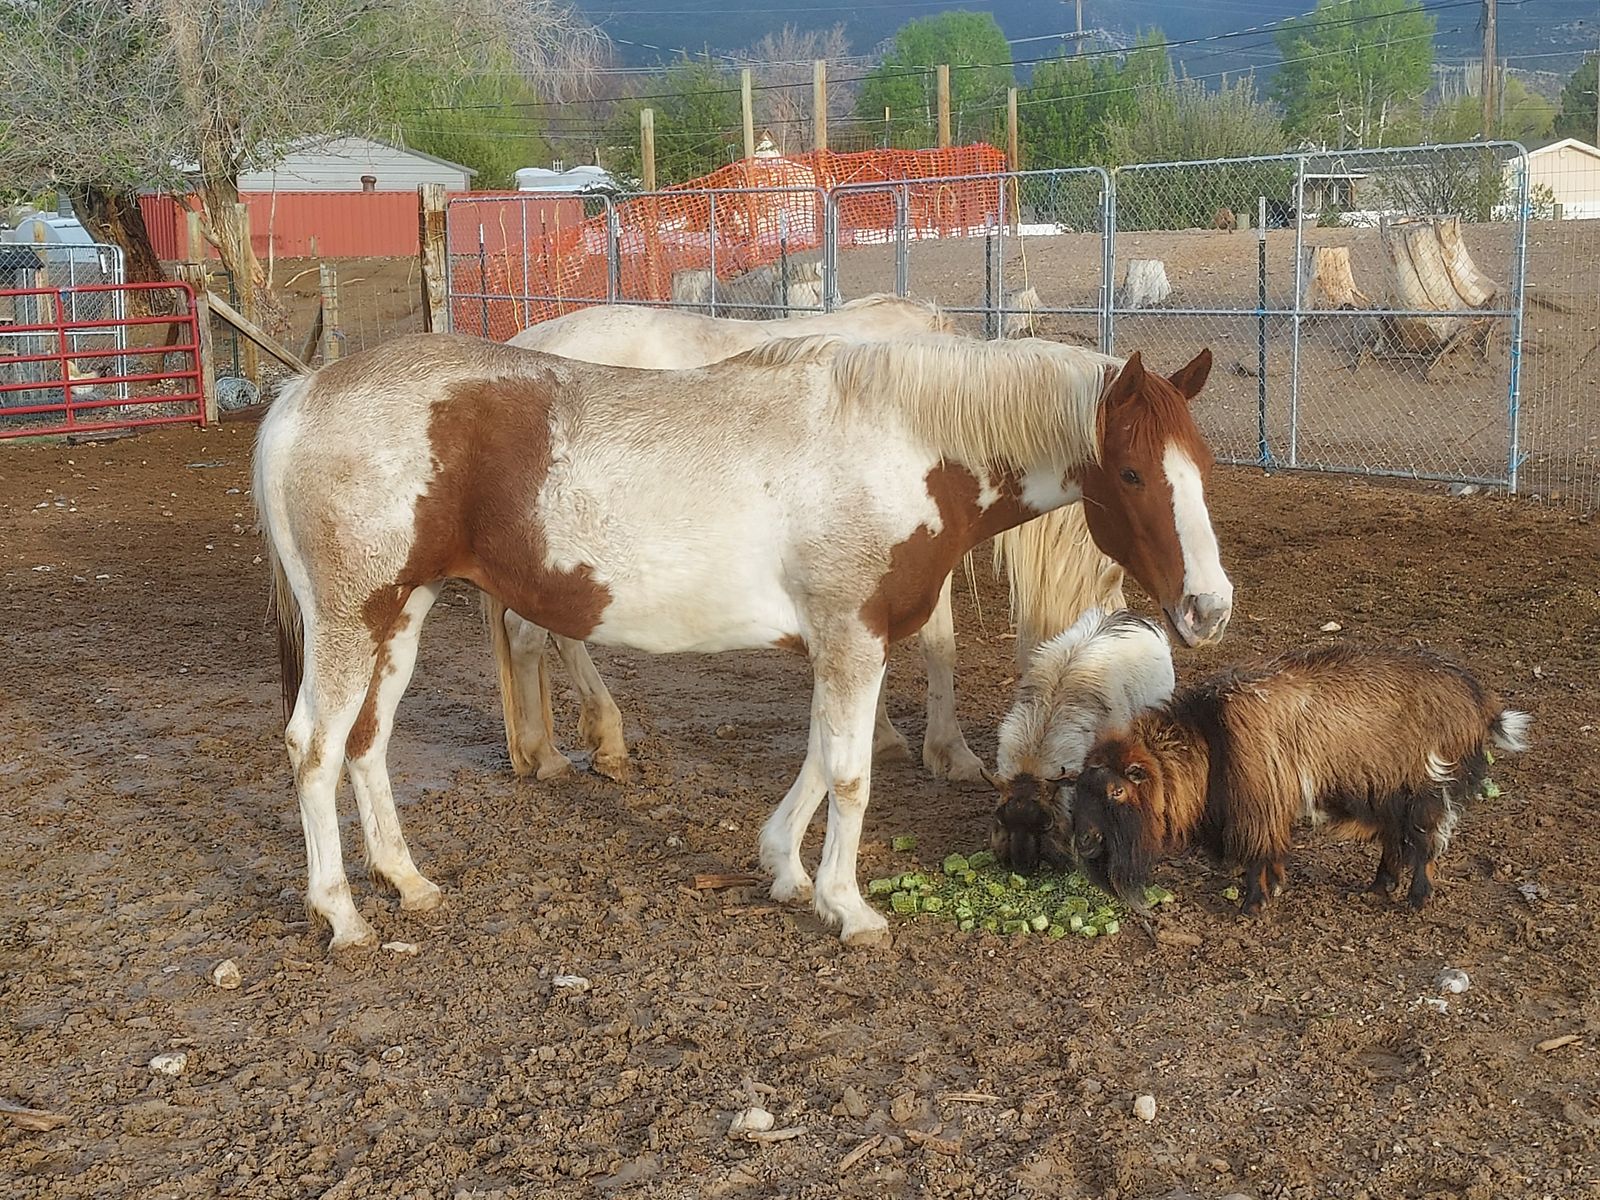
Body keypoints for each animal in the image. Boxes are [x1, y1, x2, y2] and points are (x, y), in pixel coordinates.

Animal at [496, 297, 1127, 786]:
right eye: (1117, 573)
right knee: (530, 637)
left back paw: (600, 741)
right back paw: (550, 756)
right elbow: (939, 646)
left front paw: (884, 737)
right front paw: (949, 752)